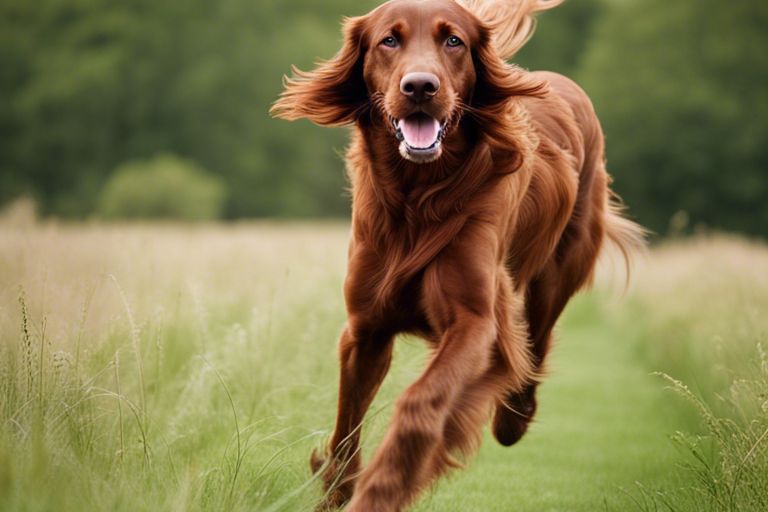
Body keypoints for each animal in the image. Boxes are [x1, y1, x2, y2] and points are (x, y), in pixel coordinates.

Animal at [270, 1, 640, 512]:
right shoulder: (366, 329)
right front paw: (336, 494)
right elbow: (346, 431)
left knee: (536, 343)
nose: (420, 87)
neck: (417, 196)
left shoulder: (476, 321)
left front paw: (382, 490)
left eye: (453, 41)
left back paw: (513, 419)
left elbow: (422, 404)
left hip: (558, 270)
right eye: (389, 40)